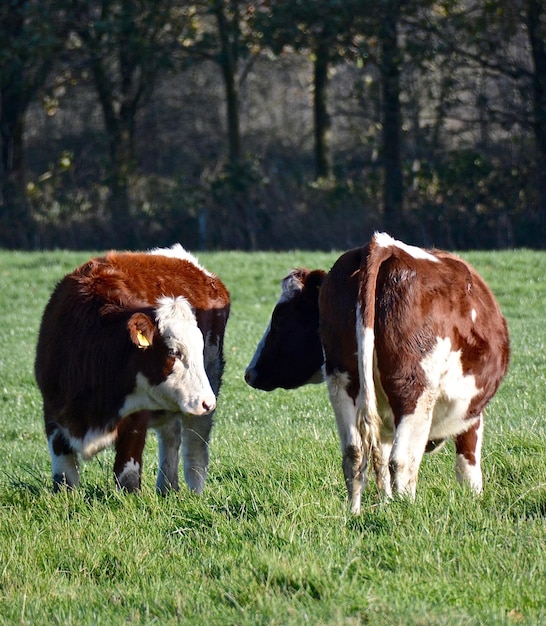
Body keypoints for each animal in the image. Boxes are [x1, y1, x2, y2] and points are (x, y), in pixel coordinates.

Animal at [34, 244, 230, 492]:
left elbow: (127, 476)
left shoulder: (136, 420)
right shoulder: (52, 411)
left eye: (199, 349)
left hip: (209, 384)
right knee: (171, 436)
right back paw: (167, 488)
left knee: (195, 446)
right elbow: (64, 478)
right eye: (173, 351)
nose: (208, 402)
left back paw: (195, 493)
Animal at [244, 232, 508, 510]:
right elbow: (467, 463)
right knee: (402, 460)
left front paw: (384, 503)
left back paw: (355, 511)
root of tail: (382, 246)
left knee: (354, 453)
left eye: (280, 317)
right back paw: (406, 510)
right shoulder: (471, 411)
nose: (250, 373)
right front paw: (473, 499)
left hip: (342, 381)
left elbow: (378, 457)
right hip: (414, 388)